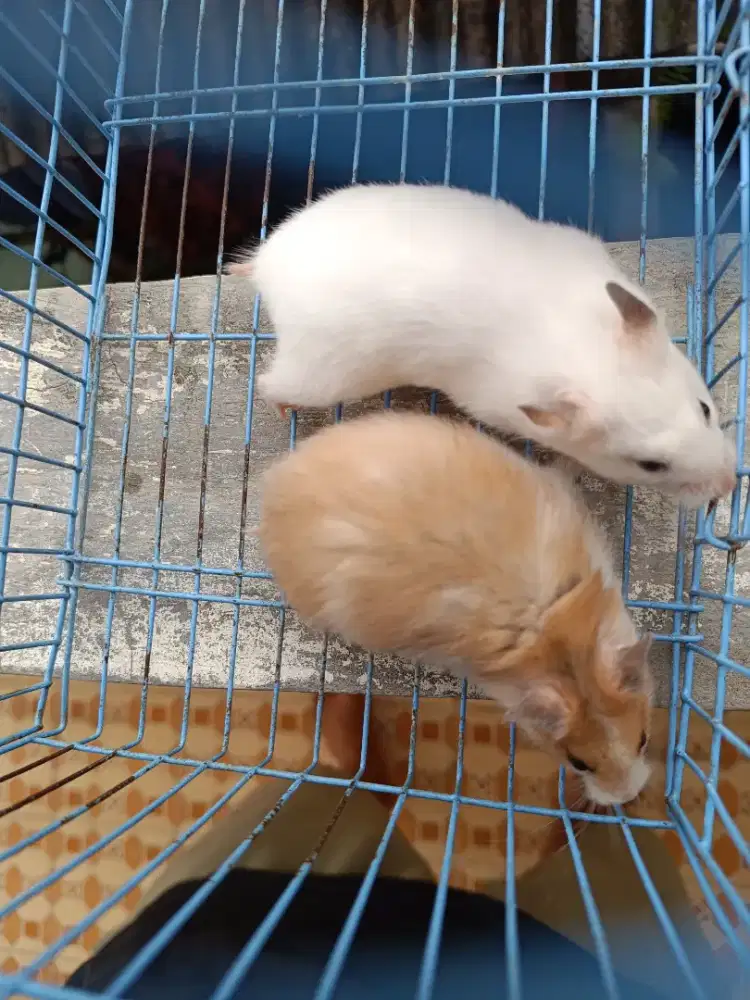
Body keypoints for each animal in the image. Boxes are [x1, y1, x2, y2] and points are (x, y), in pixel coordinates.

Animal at [229, 183, 735, 506]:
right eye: (650, 465)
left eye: (705, 409)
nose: (730, 485)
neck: (577, 347)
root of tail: (267, 268)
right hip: (320, 373)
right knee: (269, 384)